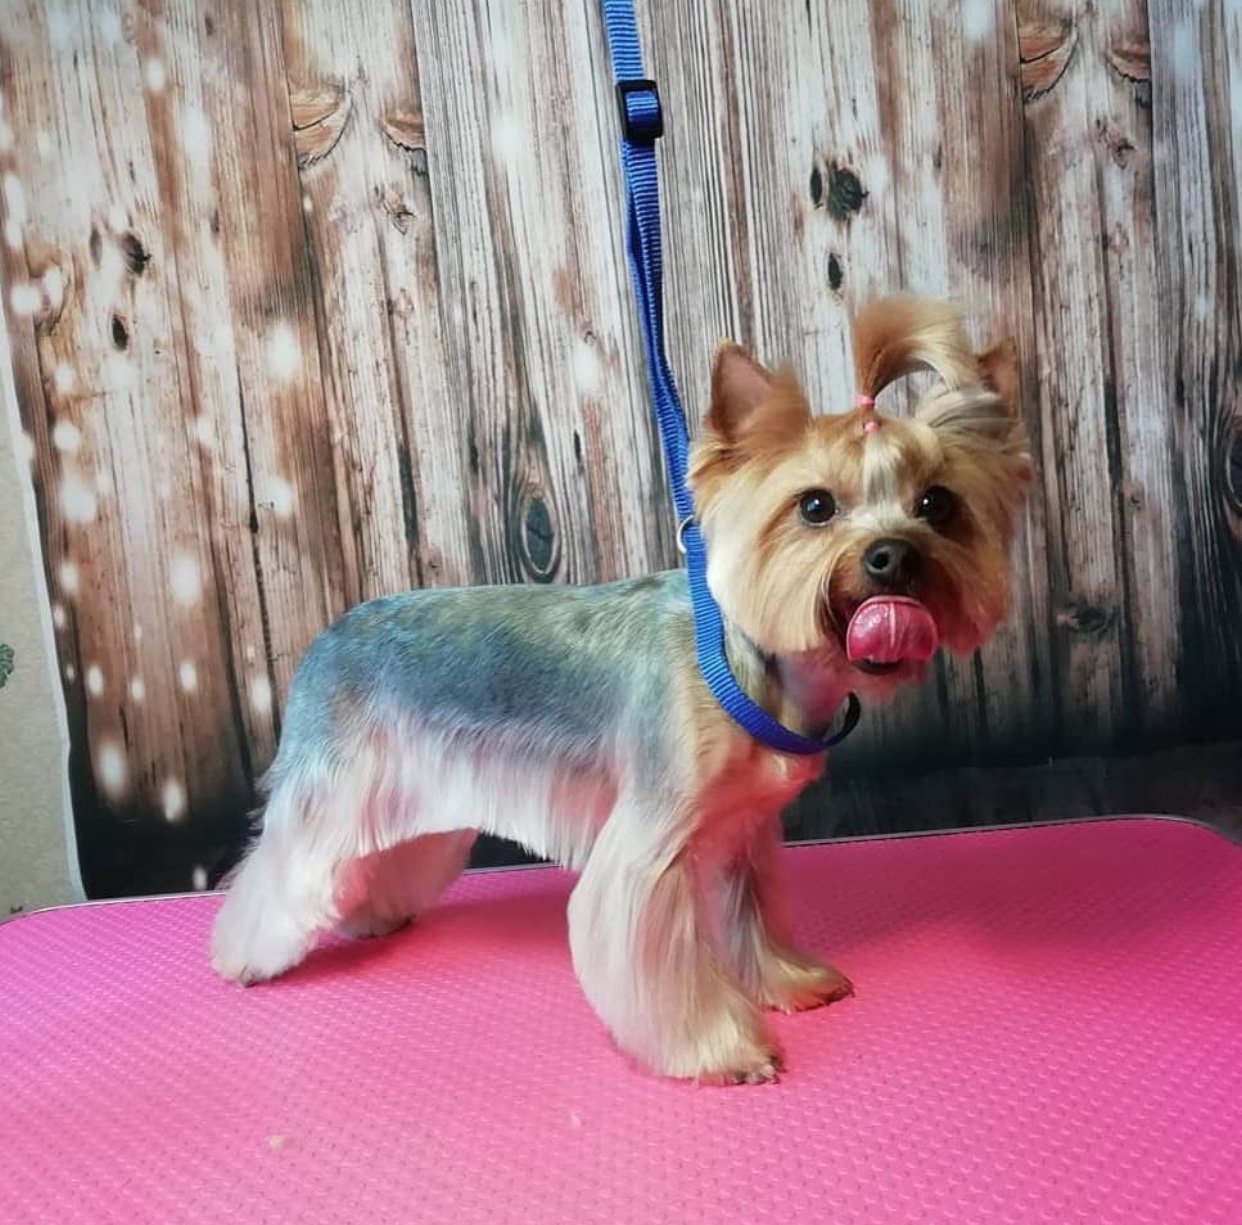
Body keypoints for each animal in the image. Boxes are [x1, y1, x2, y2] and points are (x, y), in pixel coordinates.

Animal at [211, 295, 1028, 1078]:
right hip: (334, 784)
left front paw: (788, 981)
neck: (742, 668)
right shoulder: (650, 846)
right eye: (816, 506)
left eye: (937, 505)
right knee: (286, 863)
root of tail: (330, 633)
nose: (893, 556)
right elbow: (661, 961)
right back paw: (244, 954)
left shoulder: (743, 833)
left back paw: (370, 913)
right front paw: (721, 1050)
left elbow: (754, 917)